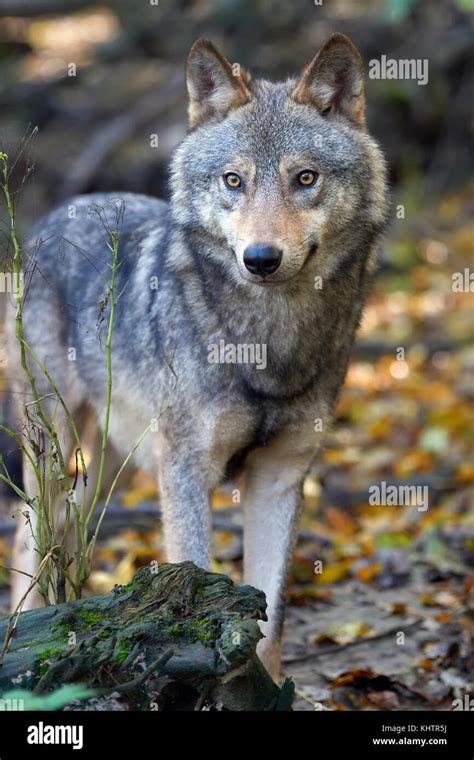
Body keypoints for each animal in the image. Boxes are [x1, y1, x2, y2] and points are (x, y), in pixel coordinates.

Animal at [4, 32, 388, 680]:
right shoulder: (184, 472)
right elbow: (198, 578)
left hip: (113, 462)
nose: (261, 258)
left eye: (305, 178)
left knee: (74, 530)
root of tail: (60, 211)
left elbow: (273, 622)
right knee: (31, 536)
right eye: (233, 180)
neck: (268, 340)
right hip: (54, 447)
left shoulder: (279, 478)